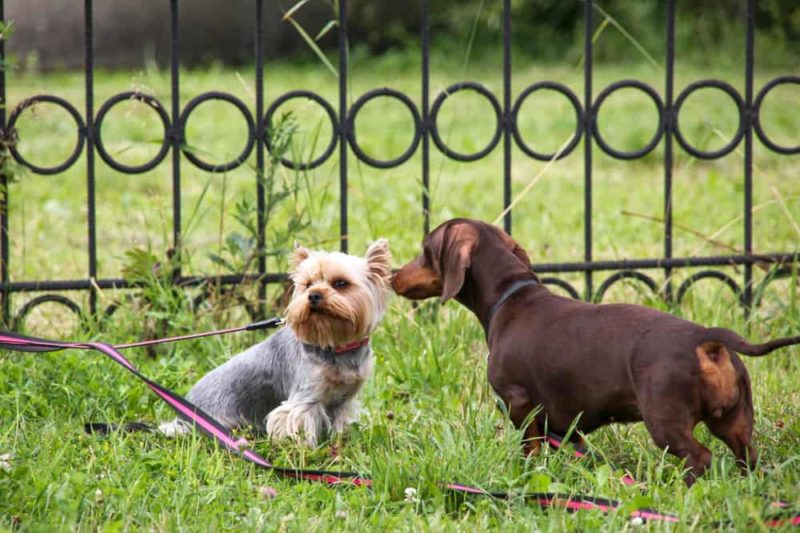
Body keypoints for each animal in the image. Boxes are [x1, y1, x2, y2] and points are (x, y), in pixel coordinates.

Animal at [159, 240, 390, 444]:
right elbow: (297, 419)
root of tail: (181, 418)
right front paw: (304, 451)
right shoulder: (306, 396)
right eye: (307, 285)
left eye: (341, 283)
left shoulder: (345, 400)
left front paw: (341, 440)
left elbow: (340, 421)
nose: (313, 295)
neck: (335, 343)